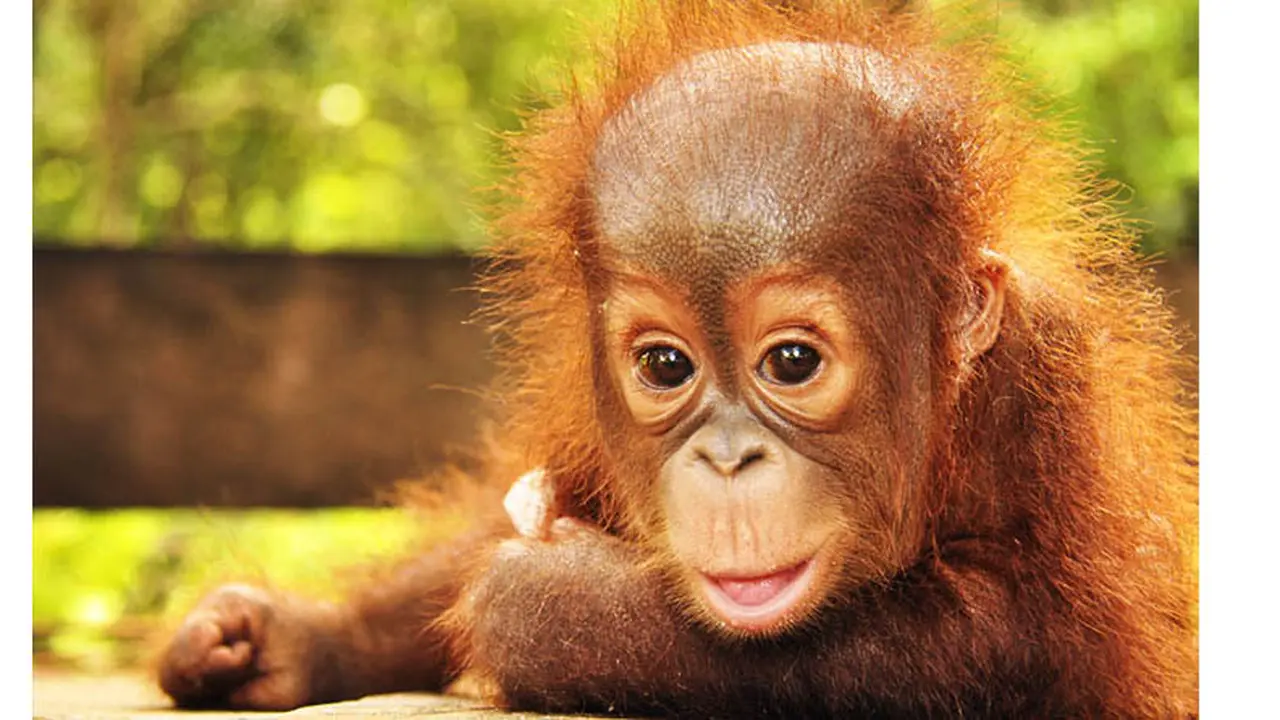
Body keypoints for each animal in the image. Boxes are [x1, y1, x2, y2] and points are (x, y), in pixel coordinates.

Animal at [157, 2, 1198, 717]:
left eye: (791, 362)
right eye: (665, 367)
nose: (728, 459)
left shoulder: (1040, 376)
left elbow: (1022, 629)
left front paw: (551, 602)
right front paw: (282, 635)